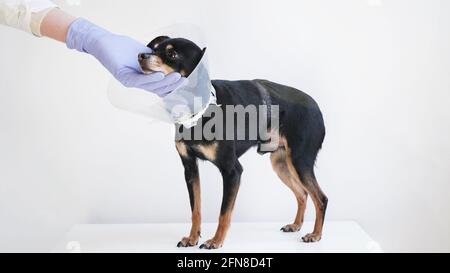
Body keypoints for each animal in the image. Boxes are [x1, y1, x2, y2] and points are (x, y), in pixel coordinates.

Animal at [137, 36, 326, 249]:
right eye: (154, 48)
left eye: (172, 54)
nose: (141, 56)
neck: (200, 109)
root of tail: (316, 107)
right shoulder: (190, 169)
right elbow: (196, 210)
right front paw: (193, 238)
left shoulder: (232, 171)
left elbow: (224, 213)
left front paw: (216, 241)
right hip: (280, 163)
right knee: (302, 194)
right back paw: (295, 225)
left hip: (299, 161)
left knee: (321, 198)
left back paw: (315, 234)